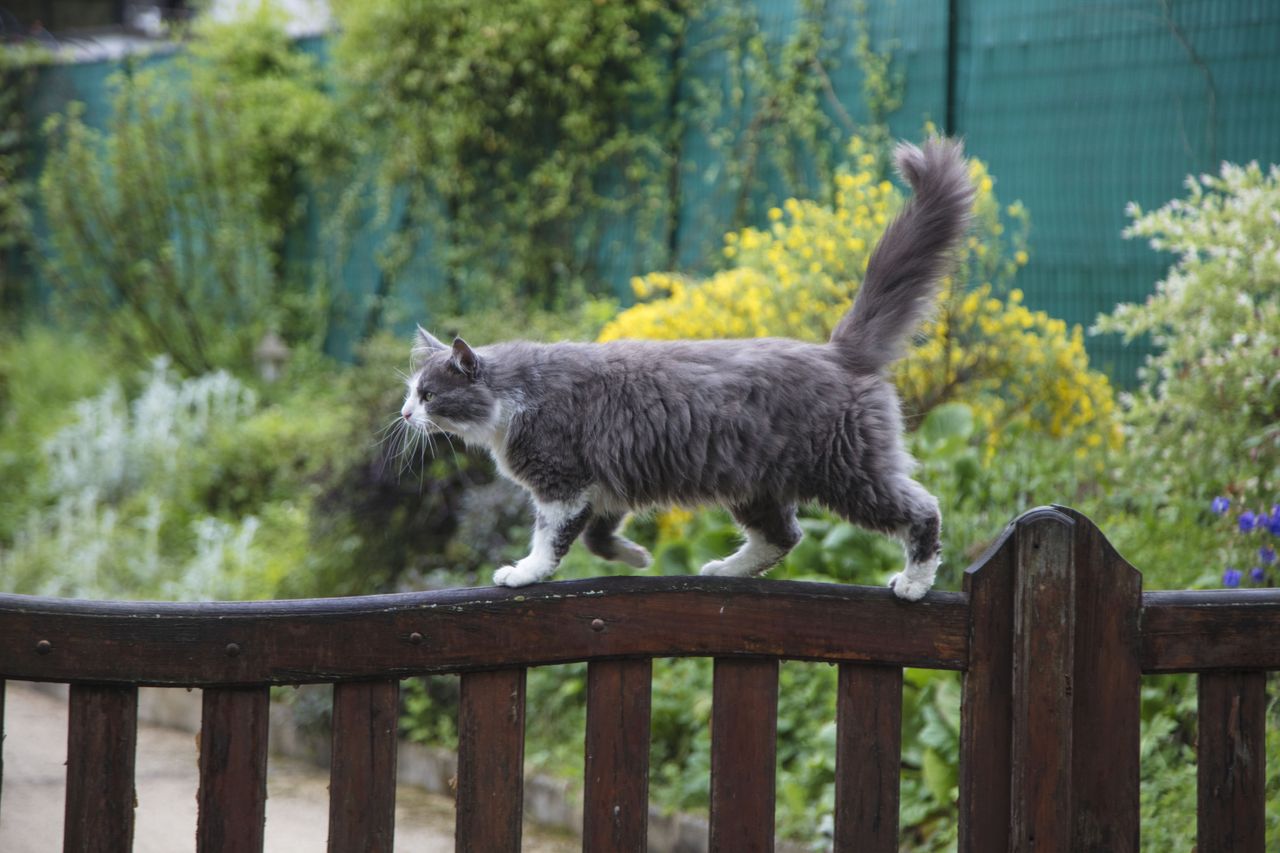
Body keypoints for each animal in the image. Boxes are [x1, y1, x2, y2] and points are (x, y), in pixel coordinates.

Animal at [396, 136, 967, 596]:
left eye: (428, 394)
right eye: (411, 392)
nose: (404, 415)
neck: (517, 395)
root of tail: (837, 350)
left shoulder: (563, 481)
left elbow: (550, 537)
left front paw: (524, 572)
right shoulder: (606, 482)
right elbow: (599, 536)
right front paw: (636, 557)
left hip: (849, 472)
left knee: (923, 511)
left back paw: (913, 581)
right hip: (756, 484)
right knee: (785, 535)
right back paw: (724, 570)